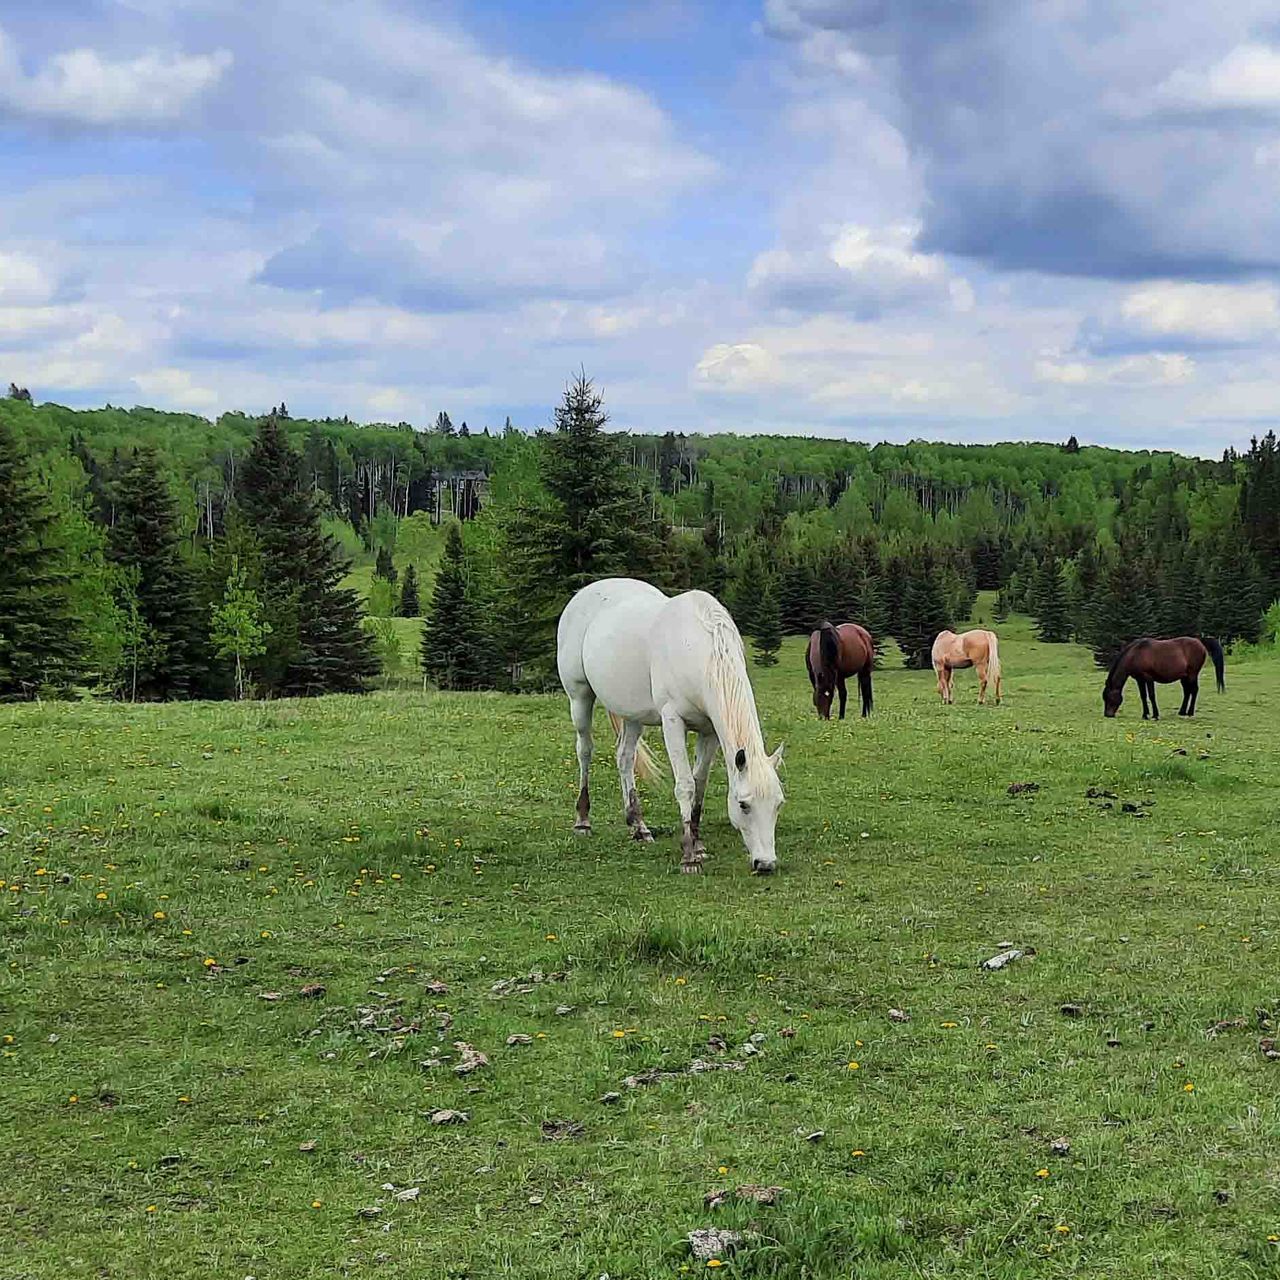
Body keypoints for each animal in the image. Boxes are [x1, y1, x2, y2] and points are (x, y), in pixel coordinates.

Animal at [557, 578, 785, 875]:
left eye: (778, 804)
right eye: (743, 805)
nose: (766, 864)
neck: (698, 649)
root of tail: (584, 593)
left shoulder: (709, 730)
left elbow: (699, 783)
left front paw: (698, 844)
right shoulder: (672, 721)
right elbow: (685, 785)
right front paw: (689, 856)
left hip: (633, 715)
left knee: (624, 757)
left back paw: (638, 827)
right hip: (580, 697)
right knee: (585, 750)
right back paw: (583, 821)